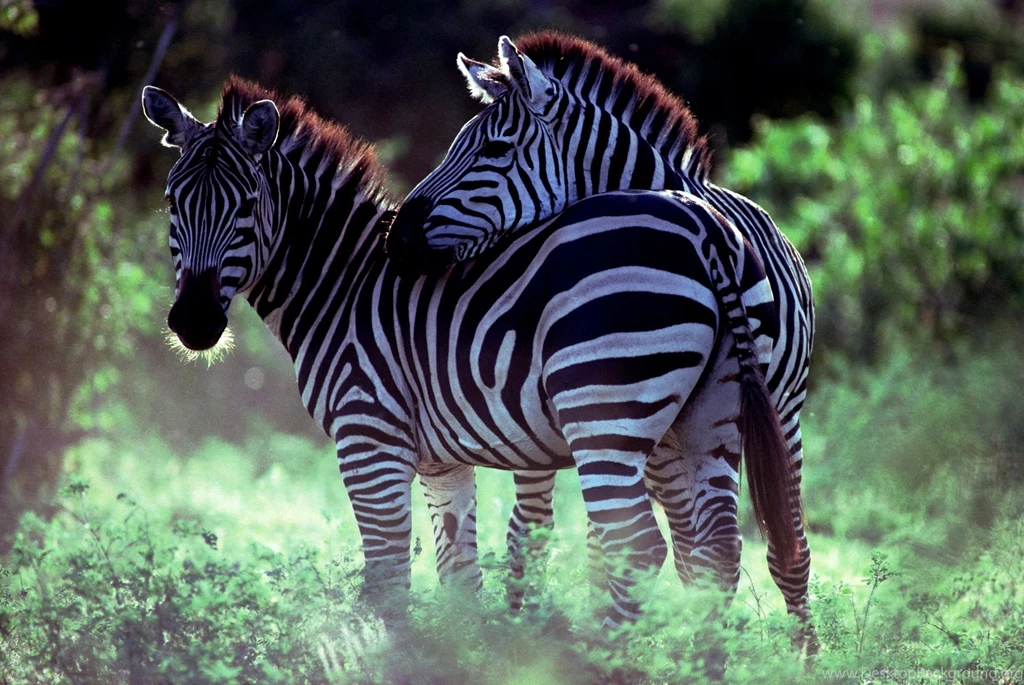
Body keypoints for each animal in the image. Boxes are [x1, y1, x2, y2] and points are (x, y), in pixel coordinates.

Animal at [142, 76, 797, 629]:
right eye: (172, 202)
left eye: (247, 204)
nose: (194, 322)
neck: (342, 284)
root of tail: (704, 225)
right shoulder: (441, 461)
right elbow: (459, 576)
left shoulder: (368, 439)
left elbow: (386, 581)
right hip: (712, 416)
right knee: (716, 551)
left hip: (605, 413)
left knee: (637, 545)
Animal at [385, 31, 815, 646]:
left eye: (494, 150)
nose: (395, 240)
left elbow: (785, 547)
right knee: (660, 542)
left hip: (765, 414)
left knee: (756, 548)